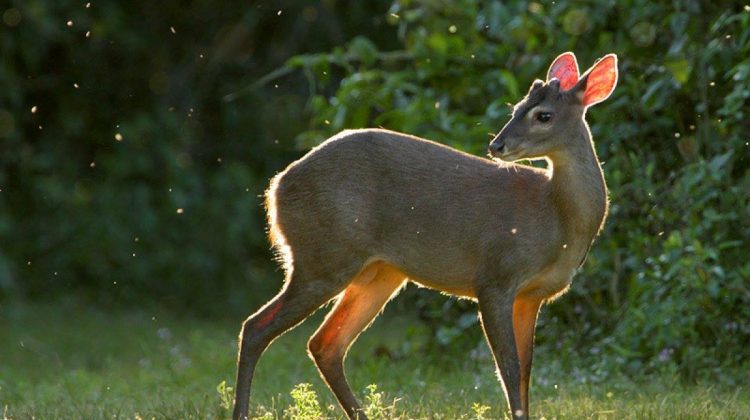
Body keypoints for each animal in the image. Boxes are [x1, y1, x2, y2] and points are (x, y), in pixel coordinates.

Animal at [235, 53, 624, 420]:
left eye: (543, 115)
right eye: (516, 108)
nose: (497, 145)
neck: (558, 221)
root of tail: (276, 189)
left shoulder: (532, 296)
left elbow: (527, 371)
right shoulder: (495, 276)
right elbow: (510, 370)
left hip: (378, 272)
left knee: (325, 344)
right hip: (324, 256)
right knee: (256, 327)